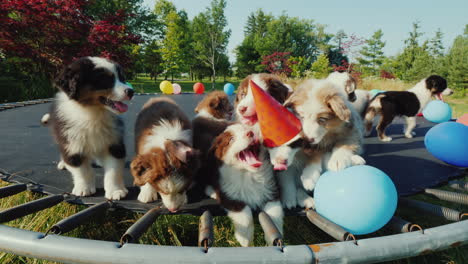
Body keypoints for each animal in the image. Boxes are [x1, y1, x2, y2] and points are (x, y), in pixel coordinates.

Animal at [46, 56, 133, 200]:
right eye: (104, 79)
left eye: (122, 78)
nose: (131, 91)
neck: (93, 112)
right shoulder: (72, 144)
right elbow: (81, 170)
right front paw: (84, 188)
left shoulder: (114, 143)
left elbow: (114, 170)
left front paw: (116, 190)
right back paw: (63, 163)